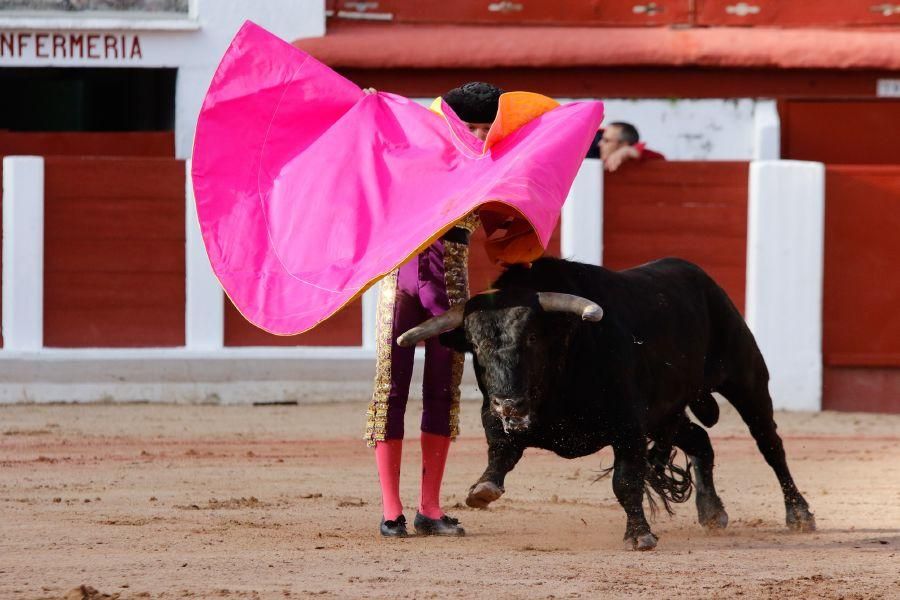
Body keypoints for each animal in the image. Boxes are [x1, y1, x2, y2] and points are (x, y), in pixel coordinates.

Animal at [400, 256, 816, 548]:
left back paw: (799, 514)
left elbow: (625, 481)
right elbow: (500, 453)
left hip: (746, 380)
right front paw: (482, 490)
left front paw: (640, 535)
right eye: (476, 347)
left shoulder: (628, 427)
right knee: (700, 440)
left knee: (770, 444)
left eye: (531, 338)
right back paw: (712, 512)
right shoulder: (498, 419)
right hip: (665, 412)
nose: (509, 403)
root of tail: (700, 277)